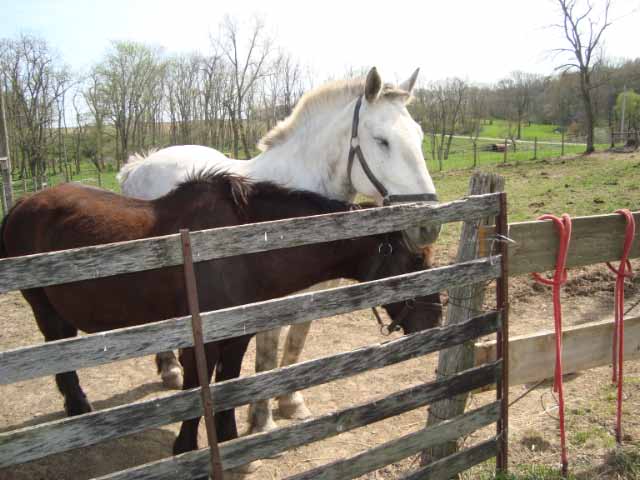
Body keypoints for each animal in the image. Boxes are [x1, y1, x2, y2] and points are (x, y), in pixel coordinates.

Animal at [0, 173, 442, 468]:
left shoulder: (237, 336)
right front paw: (185, 449)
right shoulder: (202, 340)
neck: (237, 250)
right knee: (59, 353)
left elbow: (230, 384)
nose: (434, 322)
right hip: (43, 308)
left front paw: (230, 442)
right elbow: (197, 389)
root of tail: (20, 205)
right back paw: (79, 409)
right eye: (415, 261)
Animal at [119, 68, 440, 436]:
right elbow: (267, 360)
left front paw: (290, 403)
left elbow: (293, 350)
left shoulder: (313, 298)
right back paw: (170, 369)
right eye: (382, 140)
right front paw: (261, 421)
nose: (428, 226)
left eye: (420, 137)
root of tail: (141, 164)